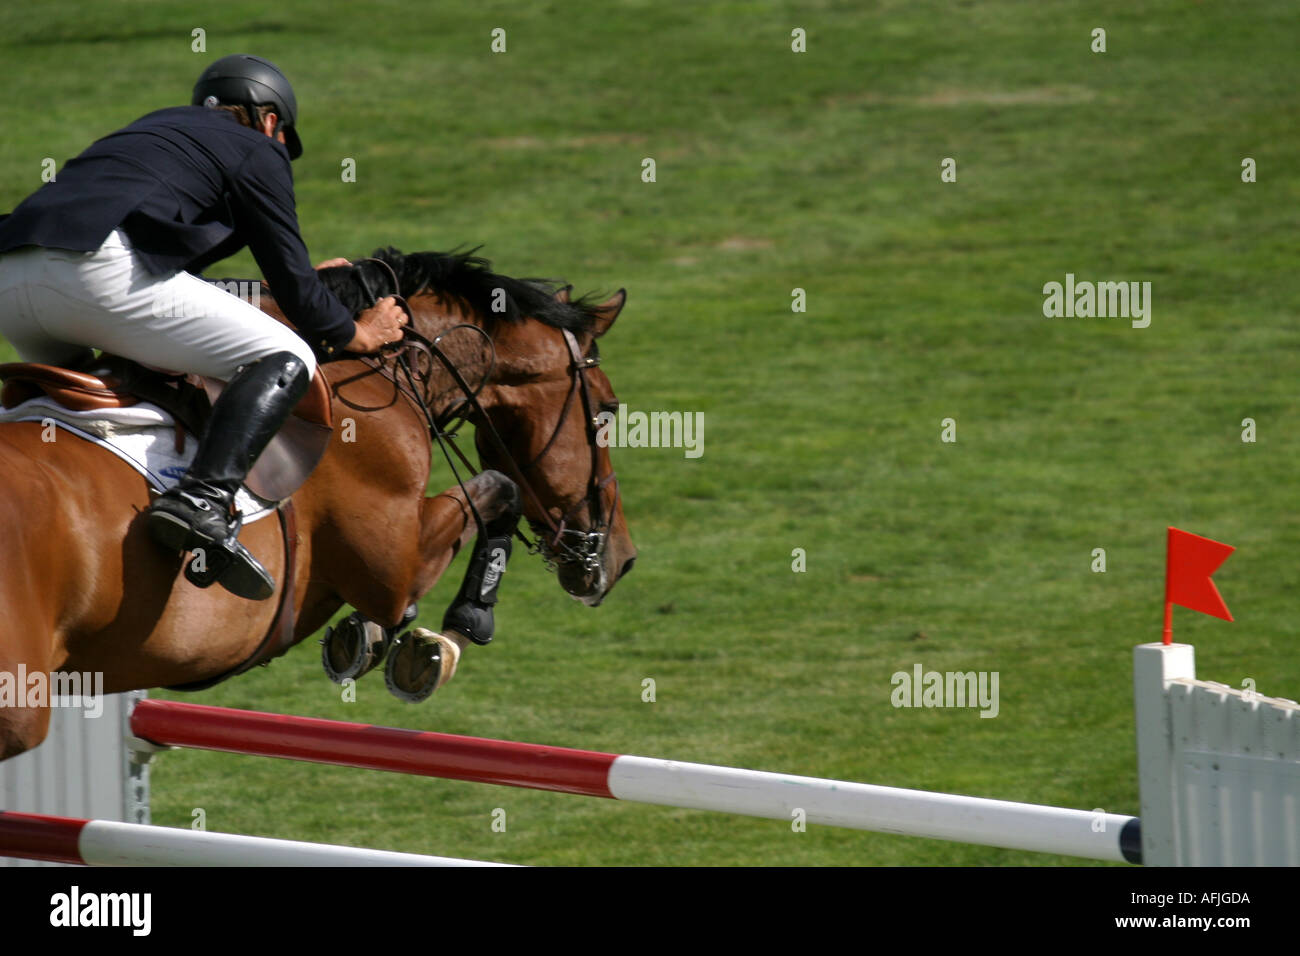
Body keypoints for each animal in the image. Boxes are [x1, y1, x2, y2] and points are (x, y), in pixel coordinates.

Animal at [0, 247, 634, 764]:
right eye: (607, 409)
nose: (620, 562)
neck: (380, 369)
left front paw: (370, 638)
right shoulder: (394, 565)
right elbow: (500, 491)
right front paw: (452, 630)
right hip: (21, 709)